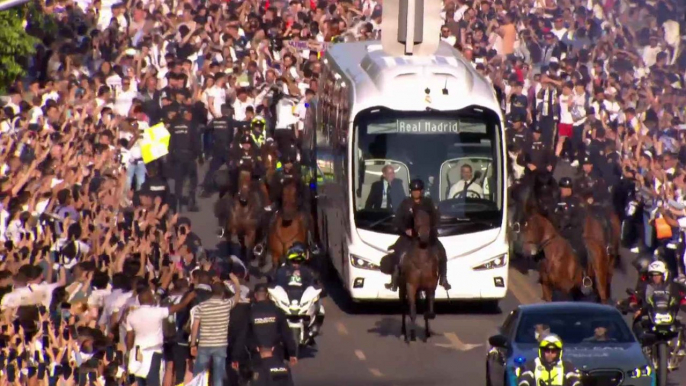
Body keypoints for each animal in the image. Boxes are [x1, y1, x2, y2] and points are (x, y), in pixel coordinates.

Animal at [398, 207, 440, 342]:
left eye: (429, 219)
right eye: (415, 220)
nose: (424, 236)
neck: (421, 261)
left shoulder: (430, 286)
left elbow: (429, 310)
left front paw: (427, 331)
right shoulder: (410, 286)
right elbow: (412, 312)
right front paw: (411, 336)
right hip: (402, 288)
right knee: (404, 308)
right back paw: (404, 332)